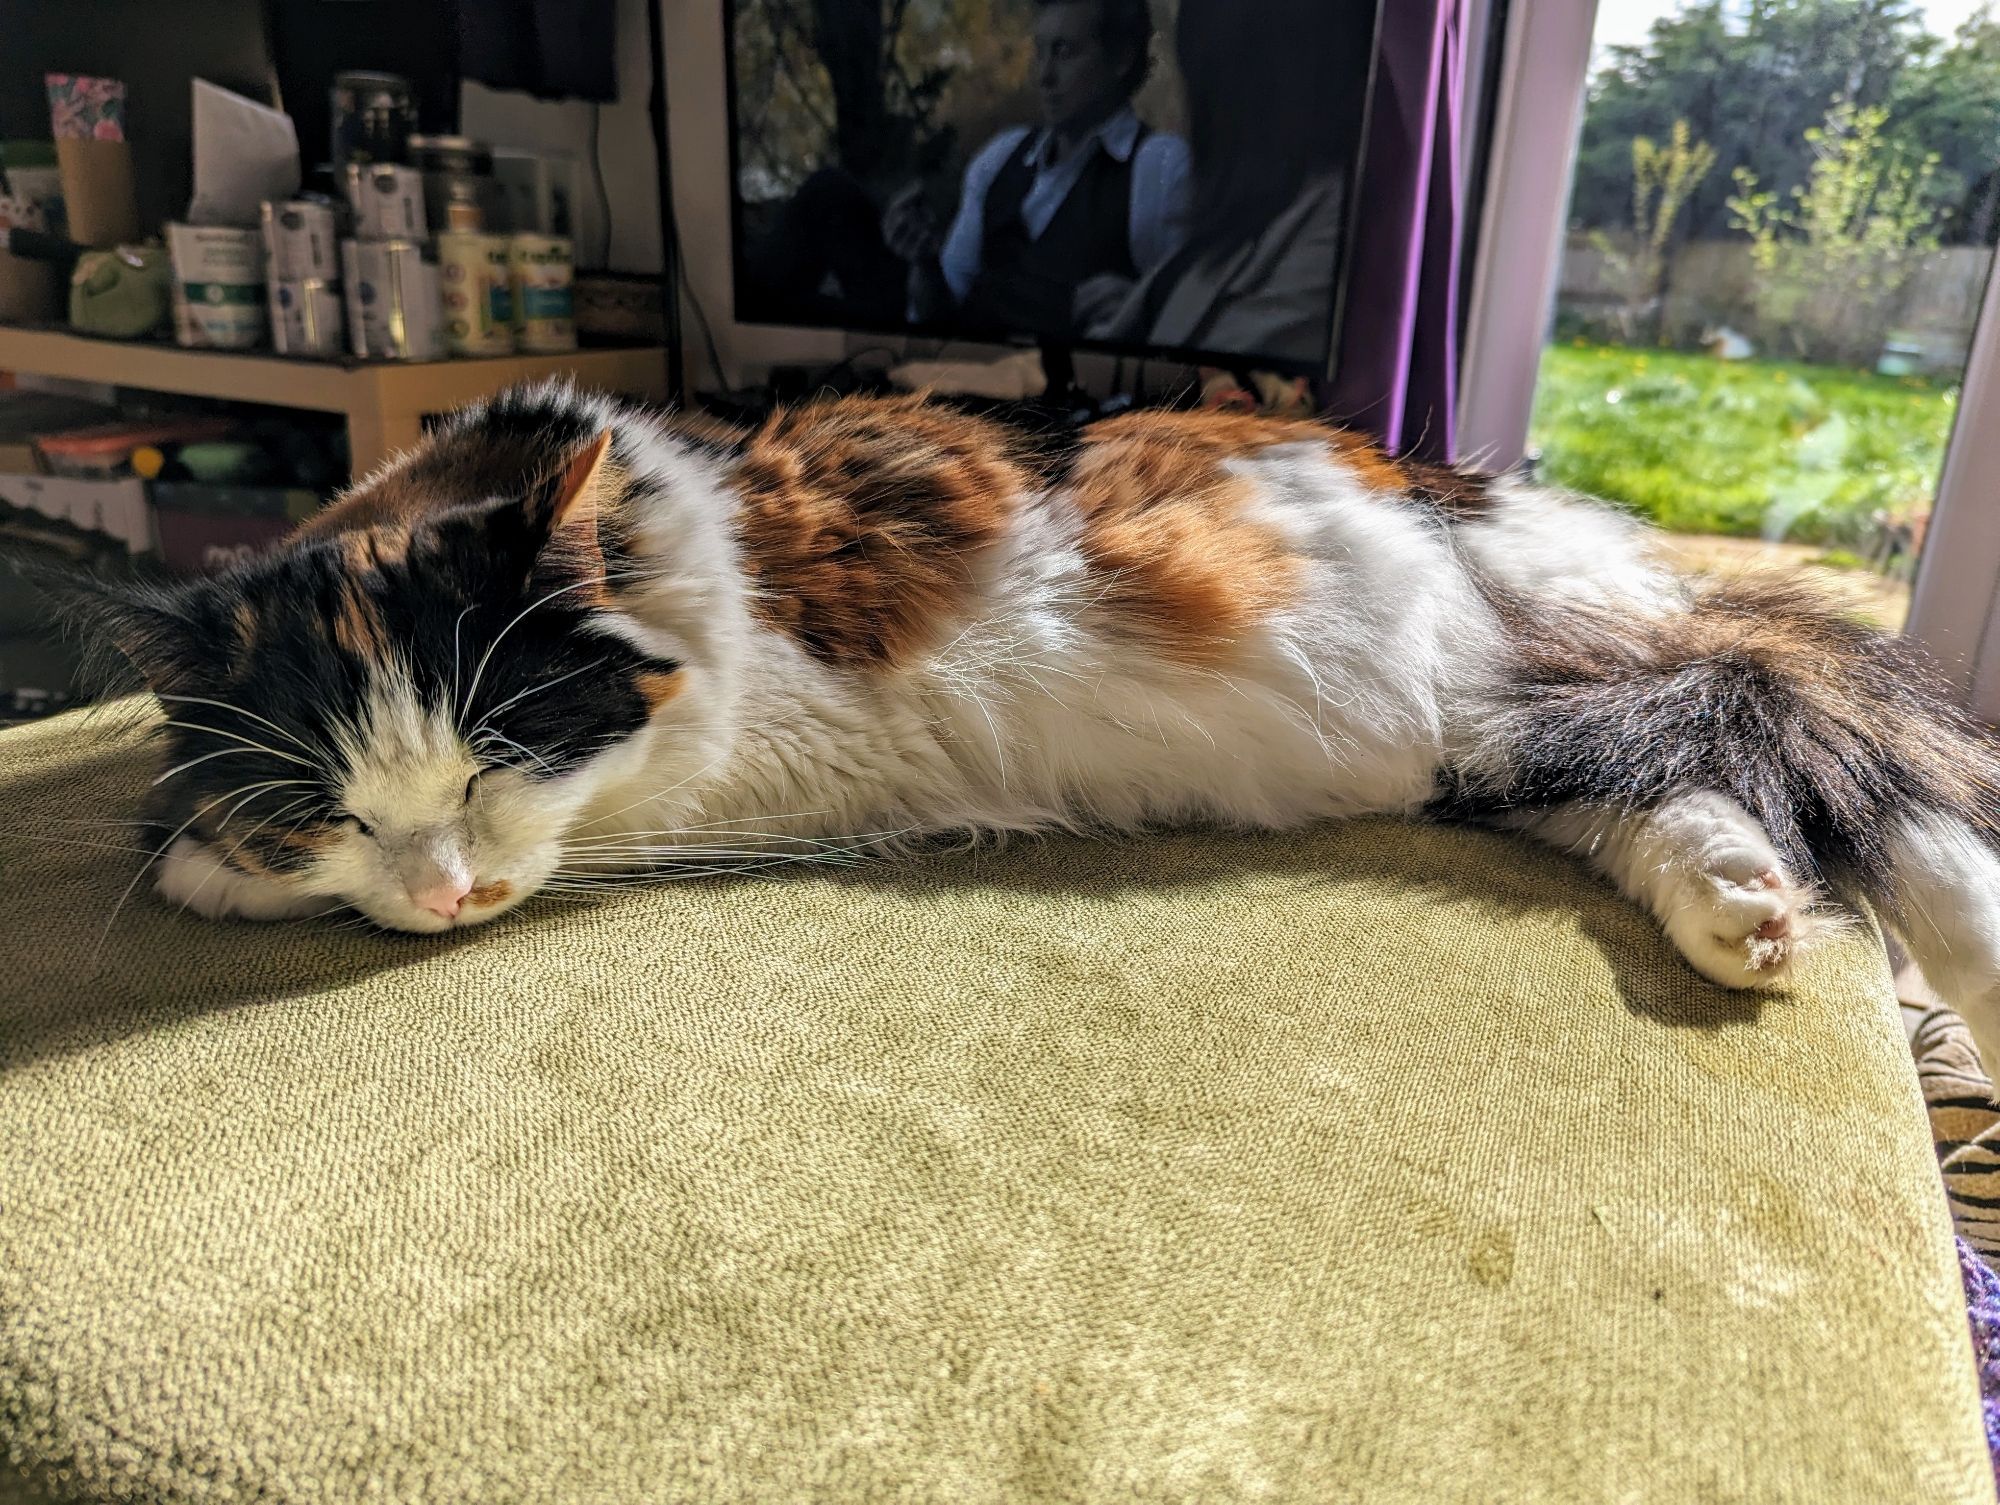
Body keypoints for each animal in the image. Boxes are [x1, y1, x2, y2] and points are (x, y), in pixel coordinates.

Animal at [47, 382, 2000, 1072]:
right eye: (342, 805)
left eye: (493, 759)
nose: (440, 895)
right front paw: (218, 840)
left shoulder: (714, 767)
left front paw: (200, 862)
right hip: (1511, 743)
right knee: (1684, 783)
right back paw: (1741, 908)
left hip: (1595, 655)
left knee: (1855, 771)